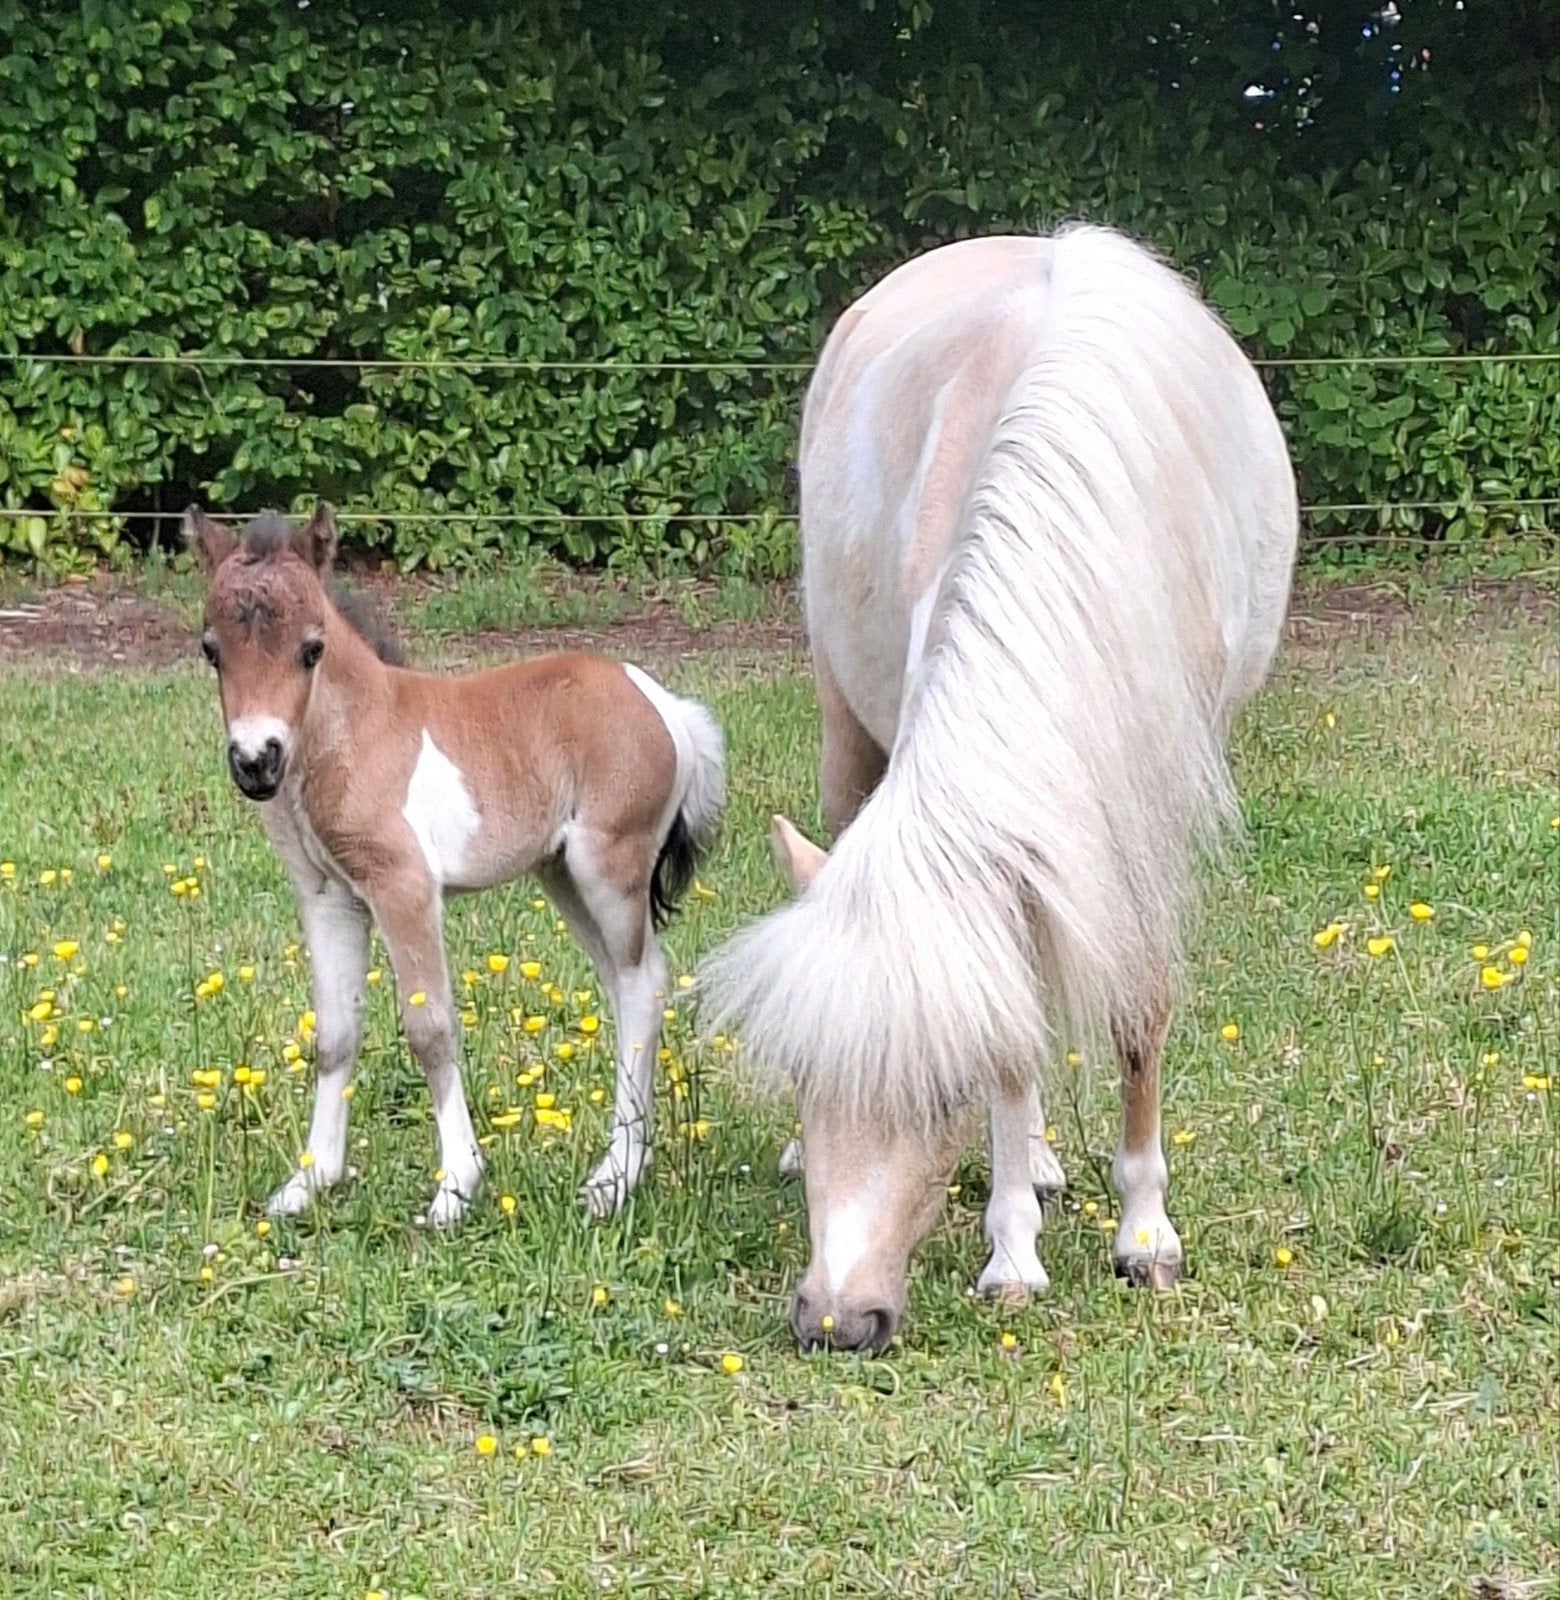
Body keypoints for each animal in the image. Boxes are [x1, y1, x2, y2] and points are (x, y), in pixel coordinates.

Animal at [186, 504, 725, 1225]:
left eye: (312, 648)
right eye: (212, 649)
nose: (255, 761)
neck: (352, 737)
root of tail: (665, 704)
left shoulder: (403, 887)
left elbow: (431, 1030)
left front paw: (455, 1187)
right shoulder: (328, 896)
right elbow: (334, 1034)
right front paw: (310, 1180)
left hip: (609, 870)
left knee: (643, 987)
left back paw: (614, 1179)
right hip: (561, 876)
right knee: (627, 986)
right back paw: (625, 1164)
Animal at [703, 226, 1297, 1351]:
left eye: (942, 1088)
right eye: (804, 1076)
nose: (836, 1318)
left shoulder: (1147, 823)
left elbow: (1138, 1011)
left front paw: (1144, 1236)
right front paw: (1014, 1251)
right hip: (847, 724)